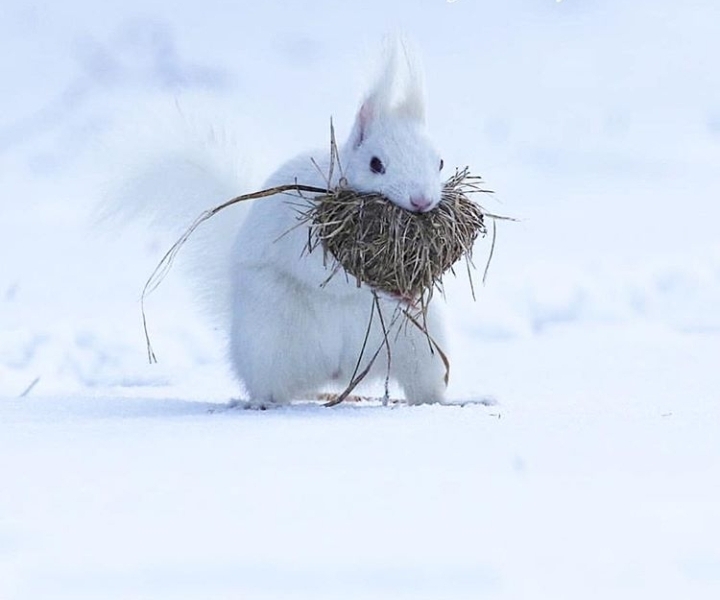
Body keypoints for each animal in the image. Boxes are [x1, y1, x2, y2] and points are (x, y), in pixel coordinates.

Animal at [227, 41, 449, 408]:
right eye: (376, 164)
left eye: (440, 161)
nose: (421, 201)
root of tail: (333, 371)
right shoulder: (300, 237)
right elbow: (327, 275)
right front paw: (390, 288)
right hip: (264, 342)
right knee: (269, 386)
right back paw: (262, 402)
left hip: (424, 345)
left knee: (426, 388)